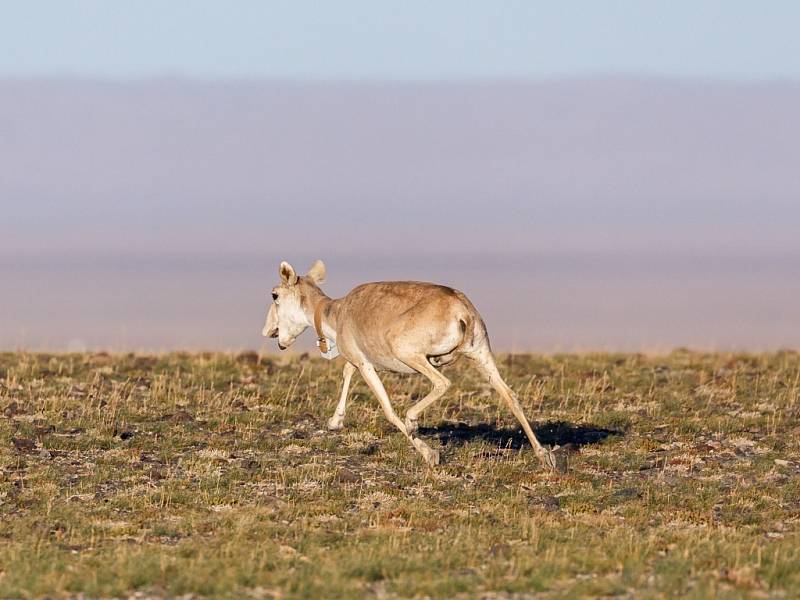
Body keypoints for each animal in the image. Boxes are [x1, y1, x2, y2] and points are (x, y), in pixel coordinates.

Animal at [260, 260, 560, 472]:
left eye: (274, 295)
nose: (268, 332)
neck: (337, 311)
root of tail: (461, 310)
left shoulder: (365, 364)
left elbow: (388, 410)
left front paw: (430, 453)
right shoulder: (361, 360)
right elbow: (346, 371)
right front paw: (335, 422)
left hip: (413, 354)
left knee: (442, 383)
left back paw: (413, 421)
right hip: (481, 355)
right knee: (510, 395)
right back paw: (545, 457)